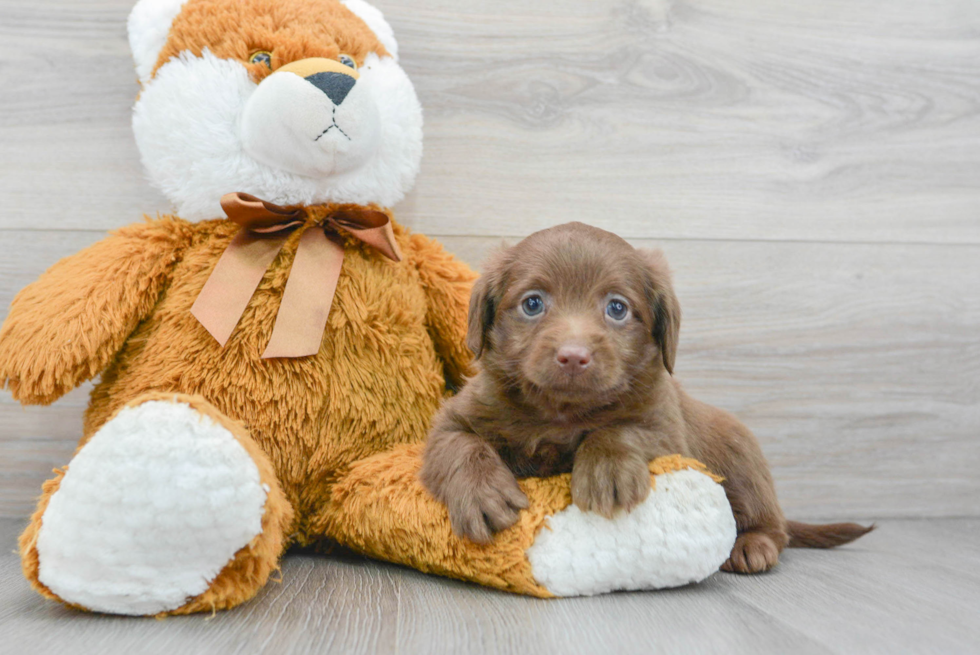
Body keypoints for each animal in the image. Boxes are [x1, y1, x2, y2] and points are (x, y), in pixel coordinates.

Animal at [422, 223, 872, 572]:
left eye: (617, 308)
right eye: (533, 303)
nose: (573, 356)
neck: (561, 412)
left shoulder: (667, 429)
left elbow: (618, 429)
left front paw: (606, 471)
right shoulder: (453, 418)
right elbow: (461, 445)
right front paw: (483, 493)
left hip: (742, 458)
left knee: (773, 525)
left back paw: (752, 546)